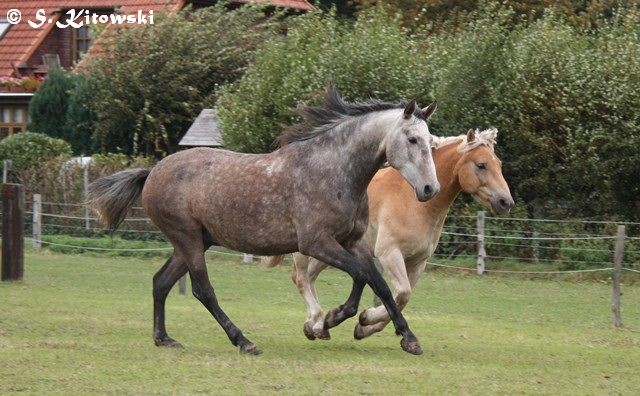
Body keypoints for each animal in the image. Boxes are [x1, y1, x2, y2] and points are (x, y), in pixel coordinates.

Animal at [87, 87, 440, 356]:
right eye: (412, 139)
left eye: (431, 141)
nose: (430, 189)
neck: (334, 171)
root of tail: (152, 172)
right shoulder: (316, 243)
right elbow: (362, 275)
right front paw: (328, 320)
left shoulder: (353, 242)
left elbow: (379, 283)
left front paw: (406, 338)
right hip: (187, 239)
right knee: (203, 291)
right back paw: (244, 342)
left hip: (191, 242)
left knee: (161, 282)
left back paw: (164, 339)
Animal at [264, 127, 516, 340]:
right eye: (481, 165)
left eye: (499, 163)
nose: (506, 202)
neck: (415, 202)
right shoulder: (389, 254)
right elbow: (401, 293)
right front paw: (366, 319)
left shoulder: (417, 263)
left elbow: (400, 298)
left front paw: (364, 327)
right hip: (308, 249)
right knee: (301, 278)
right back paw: (317, 322)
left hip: (328, 251)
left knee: (310, 277)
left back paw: (318, 326)